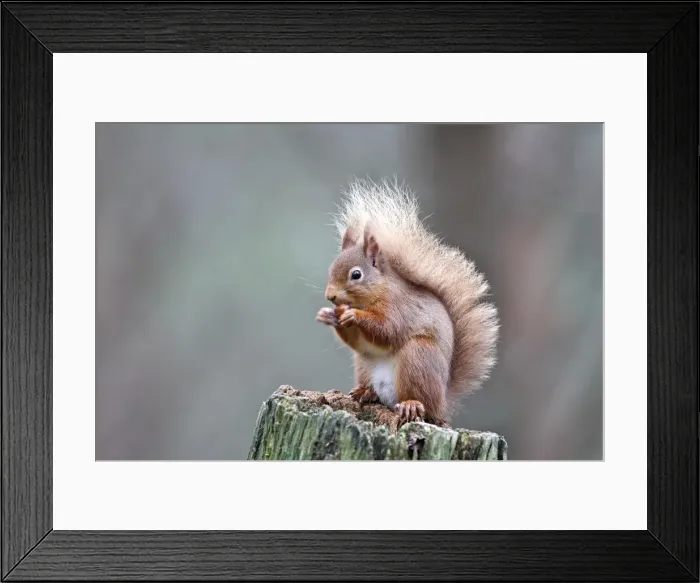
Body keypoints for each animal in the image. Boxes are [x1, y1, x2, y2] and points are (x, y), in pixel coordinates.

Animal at [316, 178, 499, 427]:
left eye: (356, 274)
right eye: (331, 270)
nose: (330, 296)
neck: (378, 292)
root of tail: (442, 404)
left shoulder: (400, 308)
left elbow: (388, 330)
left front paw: (355, 316)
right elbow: (358, 342)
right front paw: (328, 315)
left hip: (418, 357)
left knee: (419, 400)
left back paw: (411, 404)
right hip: (364, 364)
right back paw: (366, 392)